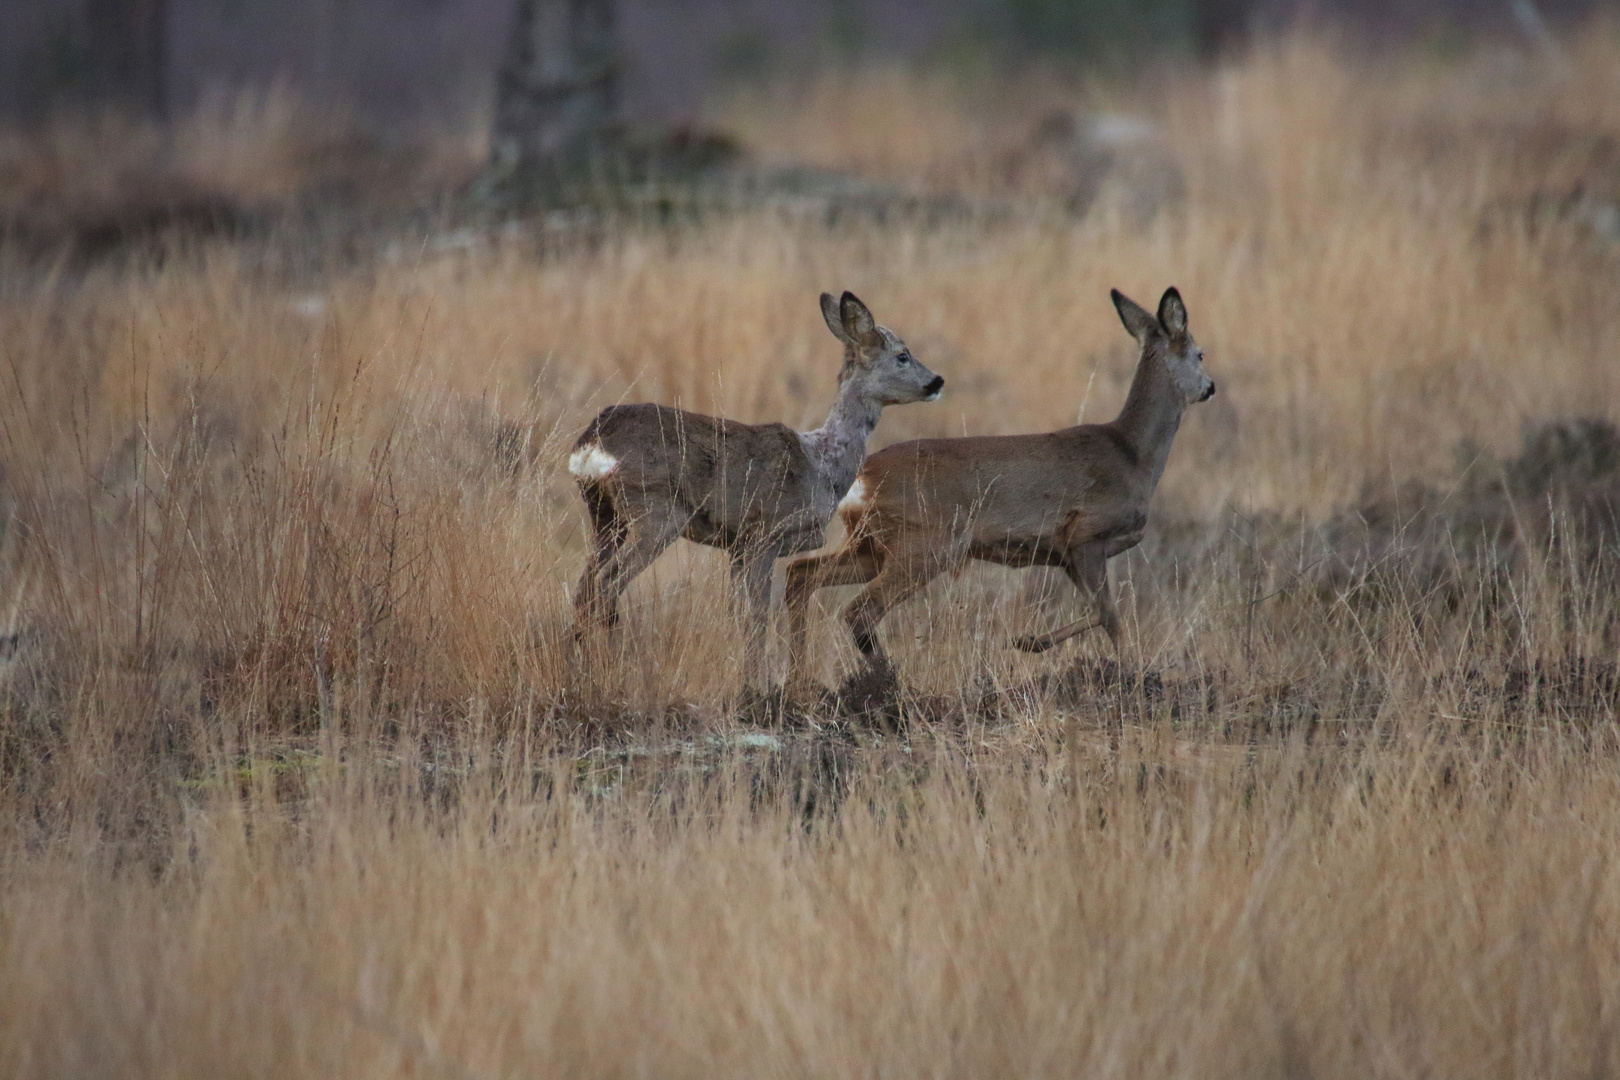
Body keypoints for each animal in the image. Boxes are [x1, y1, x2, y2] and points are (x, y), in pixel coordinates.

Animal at [573, 289, 946, 693]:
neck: (823, 466)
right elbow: (757, 616)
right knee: (606, 584)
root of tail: (591, 441)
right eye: (902, 355)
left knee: (583, 586)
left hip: (605, 516)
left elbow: (739, 615)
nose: (937, 381)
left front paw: (748, 681)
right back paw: (613, 670)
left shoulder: (737, 546)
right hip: (655, 511)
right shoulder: (764, 535)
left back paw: (580, 667)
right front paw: (757, 688)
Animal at [784, 286, 1218, 693]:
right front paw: (1127, 675)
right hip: (924, 546)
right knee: (859, 609)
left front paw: (1032, 643)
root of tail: (861, 480)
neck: (1132, 455)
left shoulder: (1066, 556)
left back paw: (803, 681)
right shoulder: (1085, 535)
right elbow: (1109, 614)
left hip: (871, 547)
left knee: (800, 574)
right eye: (1200, 354)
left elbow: (1101, 611)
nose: (1210, 387)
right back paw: (887, 684)